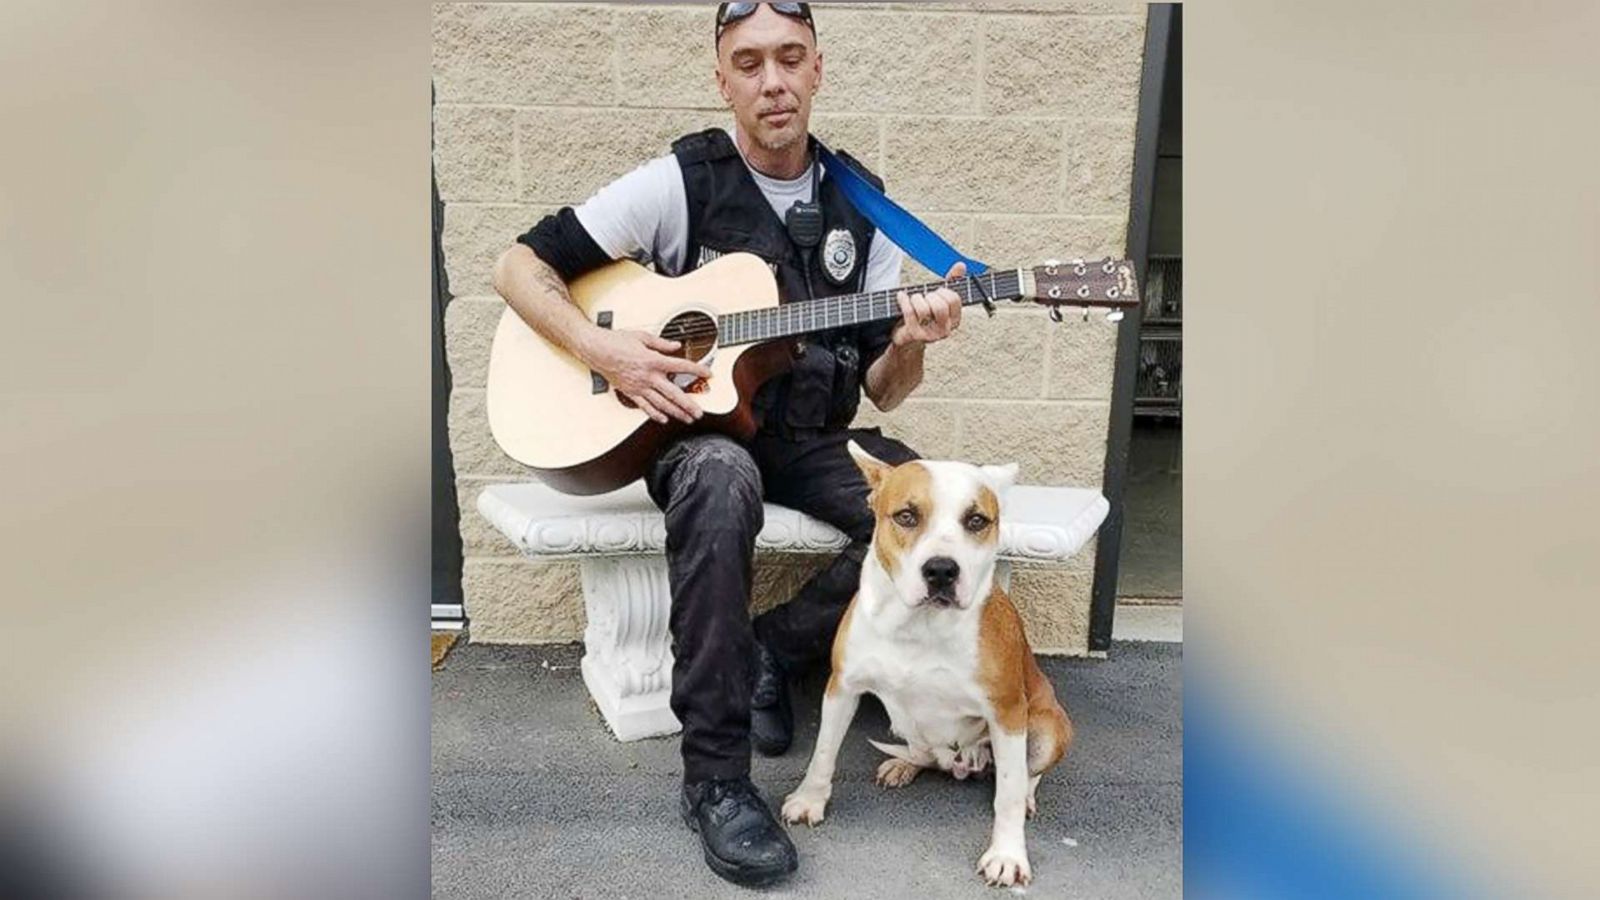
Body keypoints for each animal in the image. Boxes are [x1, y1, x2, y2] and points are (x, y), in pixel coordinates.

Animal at [777, 441, 1075, 883]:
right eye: (906, 516)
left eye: (976, 520)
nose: (941, 570)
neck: (919, 625)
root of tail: (961, 763)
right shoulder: (842, 687)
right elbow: (824, 752)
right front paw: (810, 799)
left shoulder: (1006, 711)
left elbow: (1007, 791)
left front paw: (1007, 853)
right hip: (904, 722)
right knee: (924, 754)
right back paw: (904, 765)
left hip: (1049, 727)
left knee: (1027, 774)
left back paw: (1024, 796)